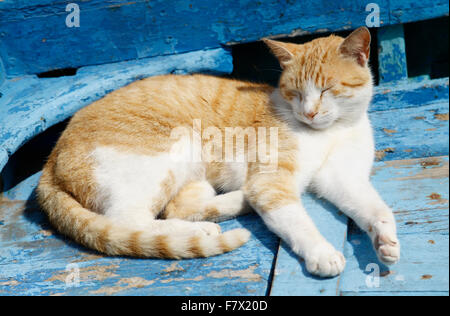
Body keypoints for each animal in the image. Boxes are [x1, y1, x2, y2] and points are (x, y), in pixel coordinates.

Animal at [37, 27, 400, 278]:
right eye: (295, 93)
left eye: (326, 89)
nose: (309, 113)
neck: (332, 131)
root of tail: (49, 162)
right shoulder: (270, 182)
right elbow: (297, 221)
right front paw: (321, 252)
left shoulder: (343, 177)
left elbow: (374, 208)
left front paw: (385, 240)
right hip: (172, 149)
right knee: (131, 221)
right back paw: (200, 231)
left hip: (193, 176)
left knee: (180, 208)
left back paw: (236, 204)